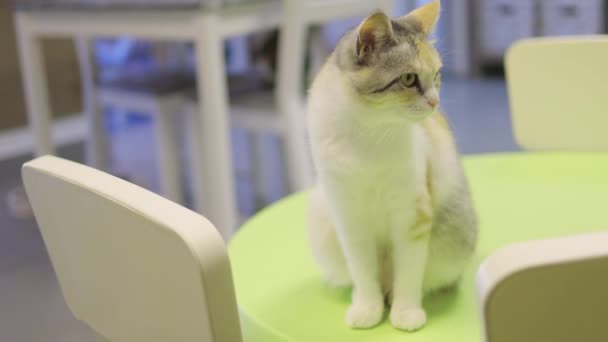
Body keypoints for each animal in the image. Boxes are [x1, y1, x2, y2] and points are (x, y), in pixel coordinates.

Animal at [306, 0, 478, 332]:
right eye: (409, 79)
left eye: (437, 75)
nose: (435, 102)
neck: (368, 132)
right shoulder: (349, 218)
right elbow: (363, 272)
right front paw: (367, 309)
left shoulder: (413, 215)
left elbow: (409, 273)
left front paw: (406, 313)